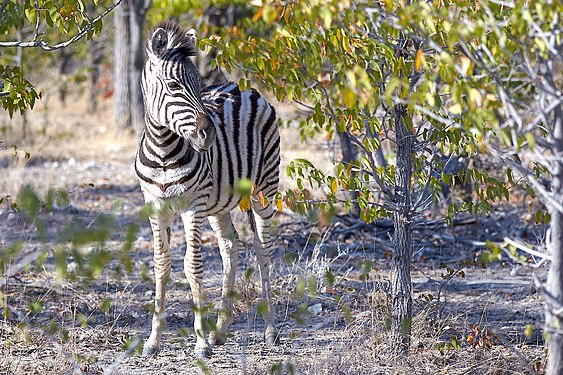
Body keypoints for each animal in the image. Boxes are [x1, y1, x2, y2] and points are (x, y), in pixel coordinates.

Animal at [134, 22, 280, 360]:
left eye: (199, 85)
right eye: (173, 85)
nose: (209, 135)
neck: (163, 152)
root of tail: (243, 87)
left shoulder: (193, 206)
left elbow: (192, 265)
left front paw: (199, 342)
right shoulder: (155, 205)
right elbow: (161, 265)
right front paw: (153, 340)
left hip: (264, 189)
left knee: (263, 250)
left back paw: (269, 331)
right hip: (219, 205)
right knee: (230, 248)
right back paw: (220, 332)